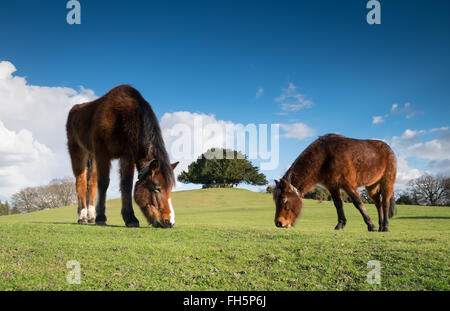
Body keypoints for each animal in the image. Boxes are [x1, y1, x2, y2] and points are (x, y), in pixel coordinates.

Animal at [66, 85, 178, 229]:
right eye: (157, 188)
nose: (170, 222)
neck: (120, 116)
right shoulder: (102, 153)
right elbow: (104, 183)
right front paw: (101, 217)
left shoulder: (127, 156)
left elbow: (126, 185)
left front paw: (130, 218)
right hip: (78, 152)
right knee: (81, 182)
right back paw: (83, 216)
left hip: (93, 157)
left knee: (91, 184)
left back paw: (91, 216)